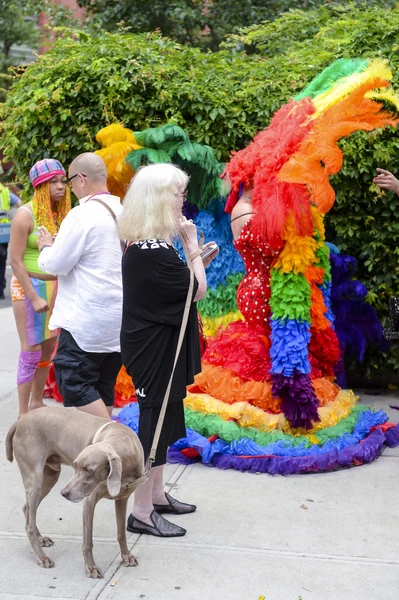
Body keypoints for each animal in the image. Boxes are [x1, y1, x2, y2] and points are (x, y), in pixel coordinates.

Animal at [6, 406, 145, 580]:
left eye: (88, 469)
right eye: (75, 465)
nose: (64, 493)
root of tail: (20, 421)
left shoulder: (122, 498)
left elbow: (121, 533)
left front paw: (126, 556)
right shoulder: (89, 502)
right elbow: (88, 542)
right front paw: (91, 568)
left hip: (50, 477)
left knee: (28, 509)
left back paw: (40, 538)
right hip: (35, 478)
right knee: (29, 523)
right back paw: (41, 557)